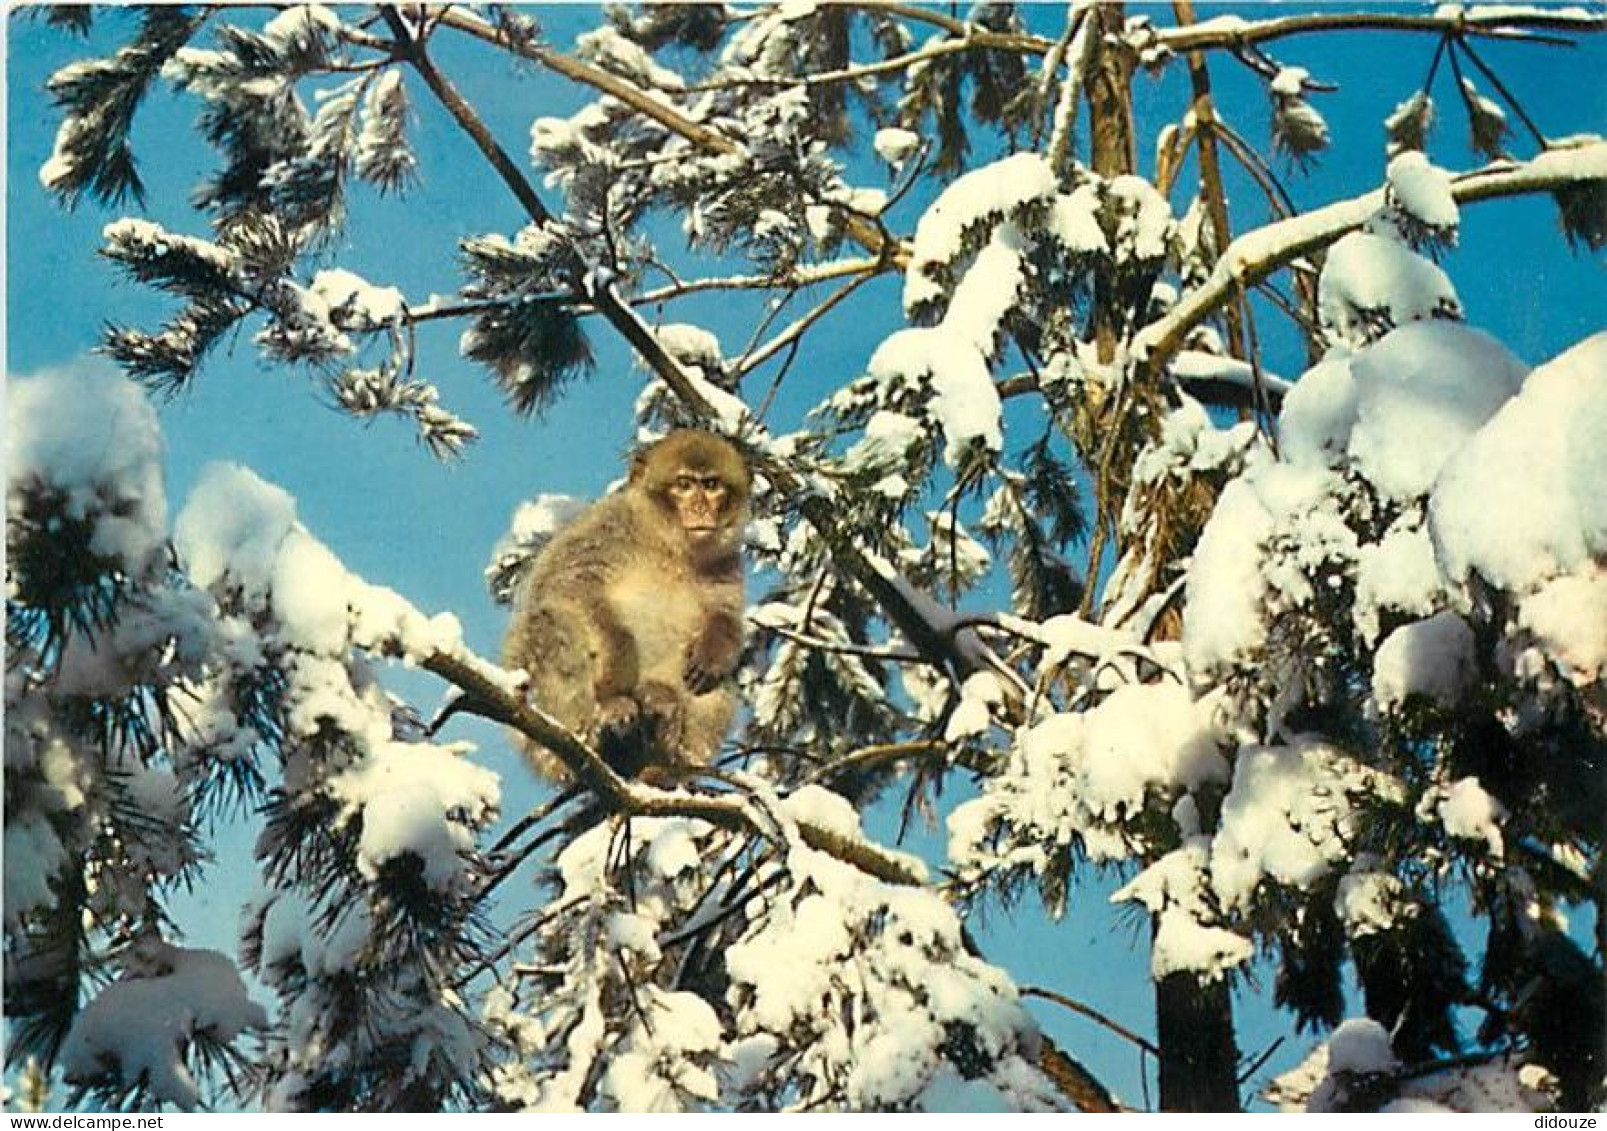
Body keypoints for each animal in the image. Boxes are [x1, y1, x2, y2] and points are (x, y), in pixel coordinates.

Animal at [501, 427, 752, 780]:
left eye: (712, 485)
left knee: (722, 676)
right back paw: (600, 729)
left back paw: (666, 745)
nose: (701, 508)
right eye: (684, 484)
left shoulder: (727, 563)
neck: (668, 546)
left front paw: (713, 650)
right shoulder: (608, 528)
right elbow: (571, 587)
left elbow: (725, 615)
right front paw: (620, 663)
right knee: (550, 621)